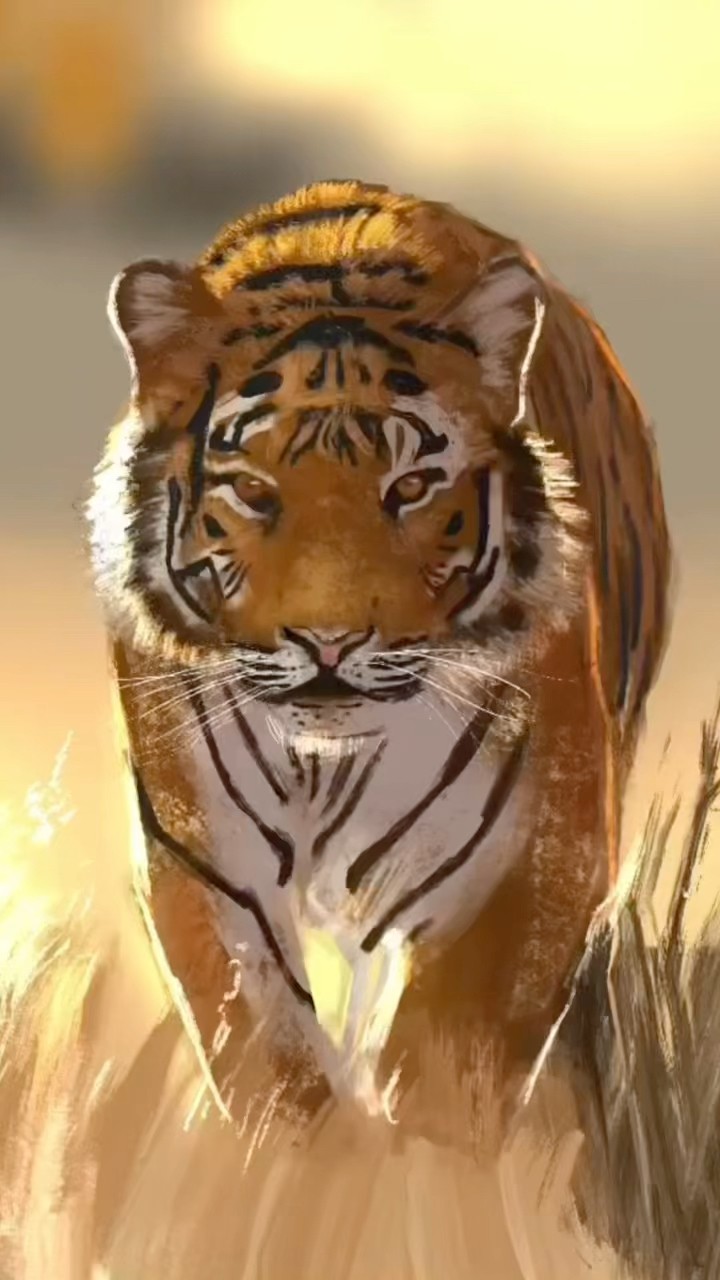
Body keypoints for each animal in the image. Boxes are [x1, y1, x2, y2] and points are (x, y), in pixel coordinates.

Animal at [88, 179, 670, 1134]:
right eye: (253, 490)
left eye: (411, 487)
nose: (328, 643)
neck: (328, 767)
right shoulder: (207, 866)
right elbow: (273, 1072)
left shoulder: (533, 857)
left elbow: (445, 1076)